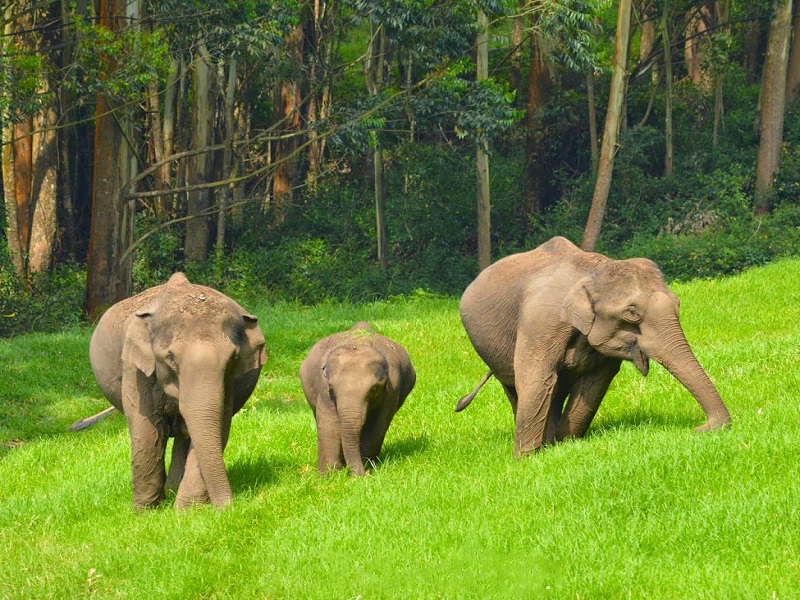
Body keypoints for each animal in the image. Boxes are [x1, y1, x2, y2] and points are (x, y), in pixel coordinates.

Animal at [88, 272, 267, 509]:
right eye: (170, 357)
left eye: (233, 358)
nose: (229, 508)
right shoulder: (135, 369)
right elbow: (147, 431)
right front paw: (146, 511)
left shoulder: (228, 382)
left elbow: (218, 427)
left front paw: (187, 510)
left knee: (184, 435)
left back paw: (173, 490)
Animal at [299, 322, 416, 476]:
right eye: (331, 387)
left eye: (374, 389)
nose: (361, 475)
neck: (359, 342)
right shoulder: (323, 387)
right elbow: (329, 422)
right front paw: (329, 475)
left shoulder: (393, 388)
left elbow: (377, 424)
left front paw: (366, 466)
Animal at [457, 236, 731, 456]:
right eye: (632, 313)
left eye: (678, 303)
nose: (701, 428)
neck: (593, 270)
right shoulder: (540, 322)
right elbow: (538, 378)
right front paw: (525, 459)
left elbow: (594, 383)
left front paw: (564, 444)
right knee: (516, 387)